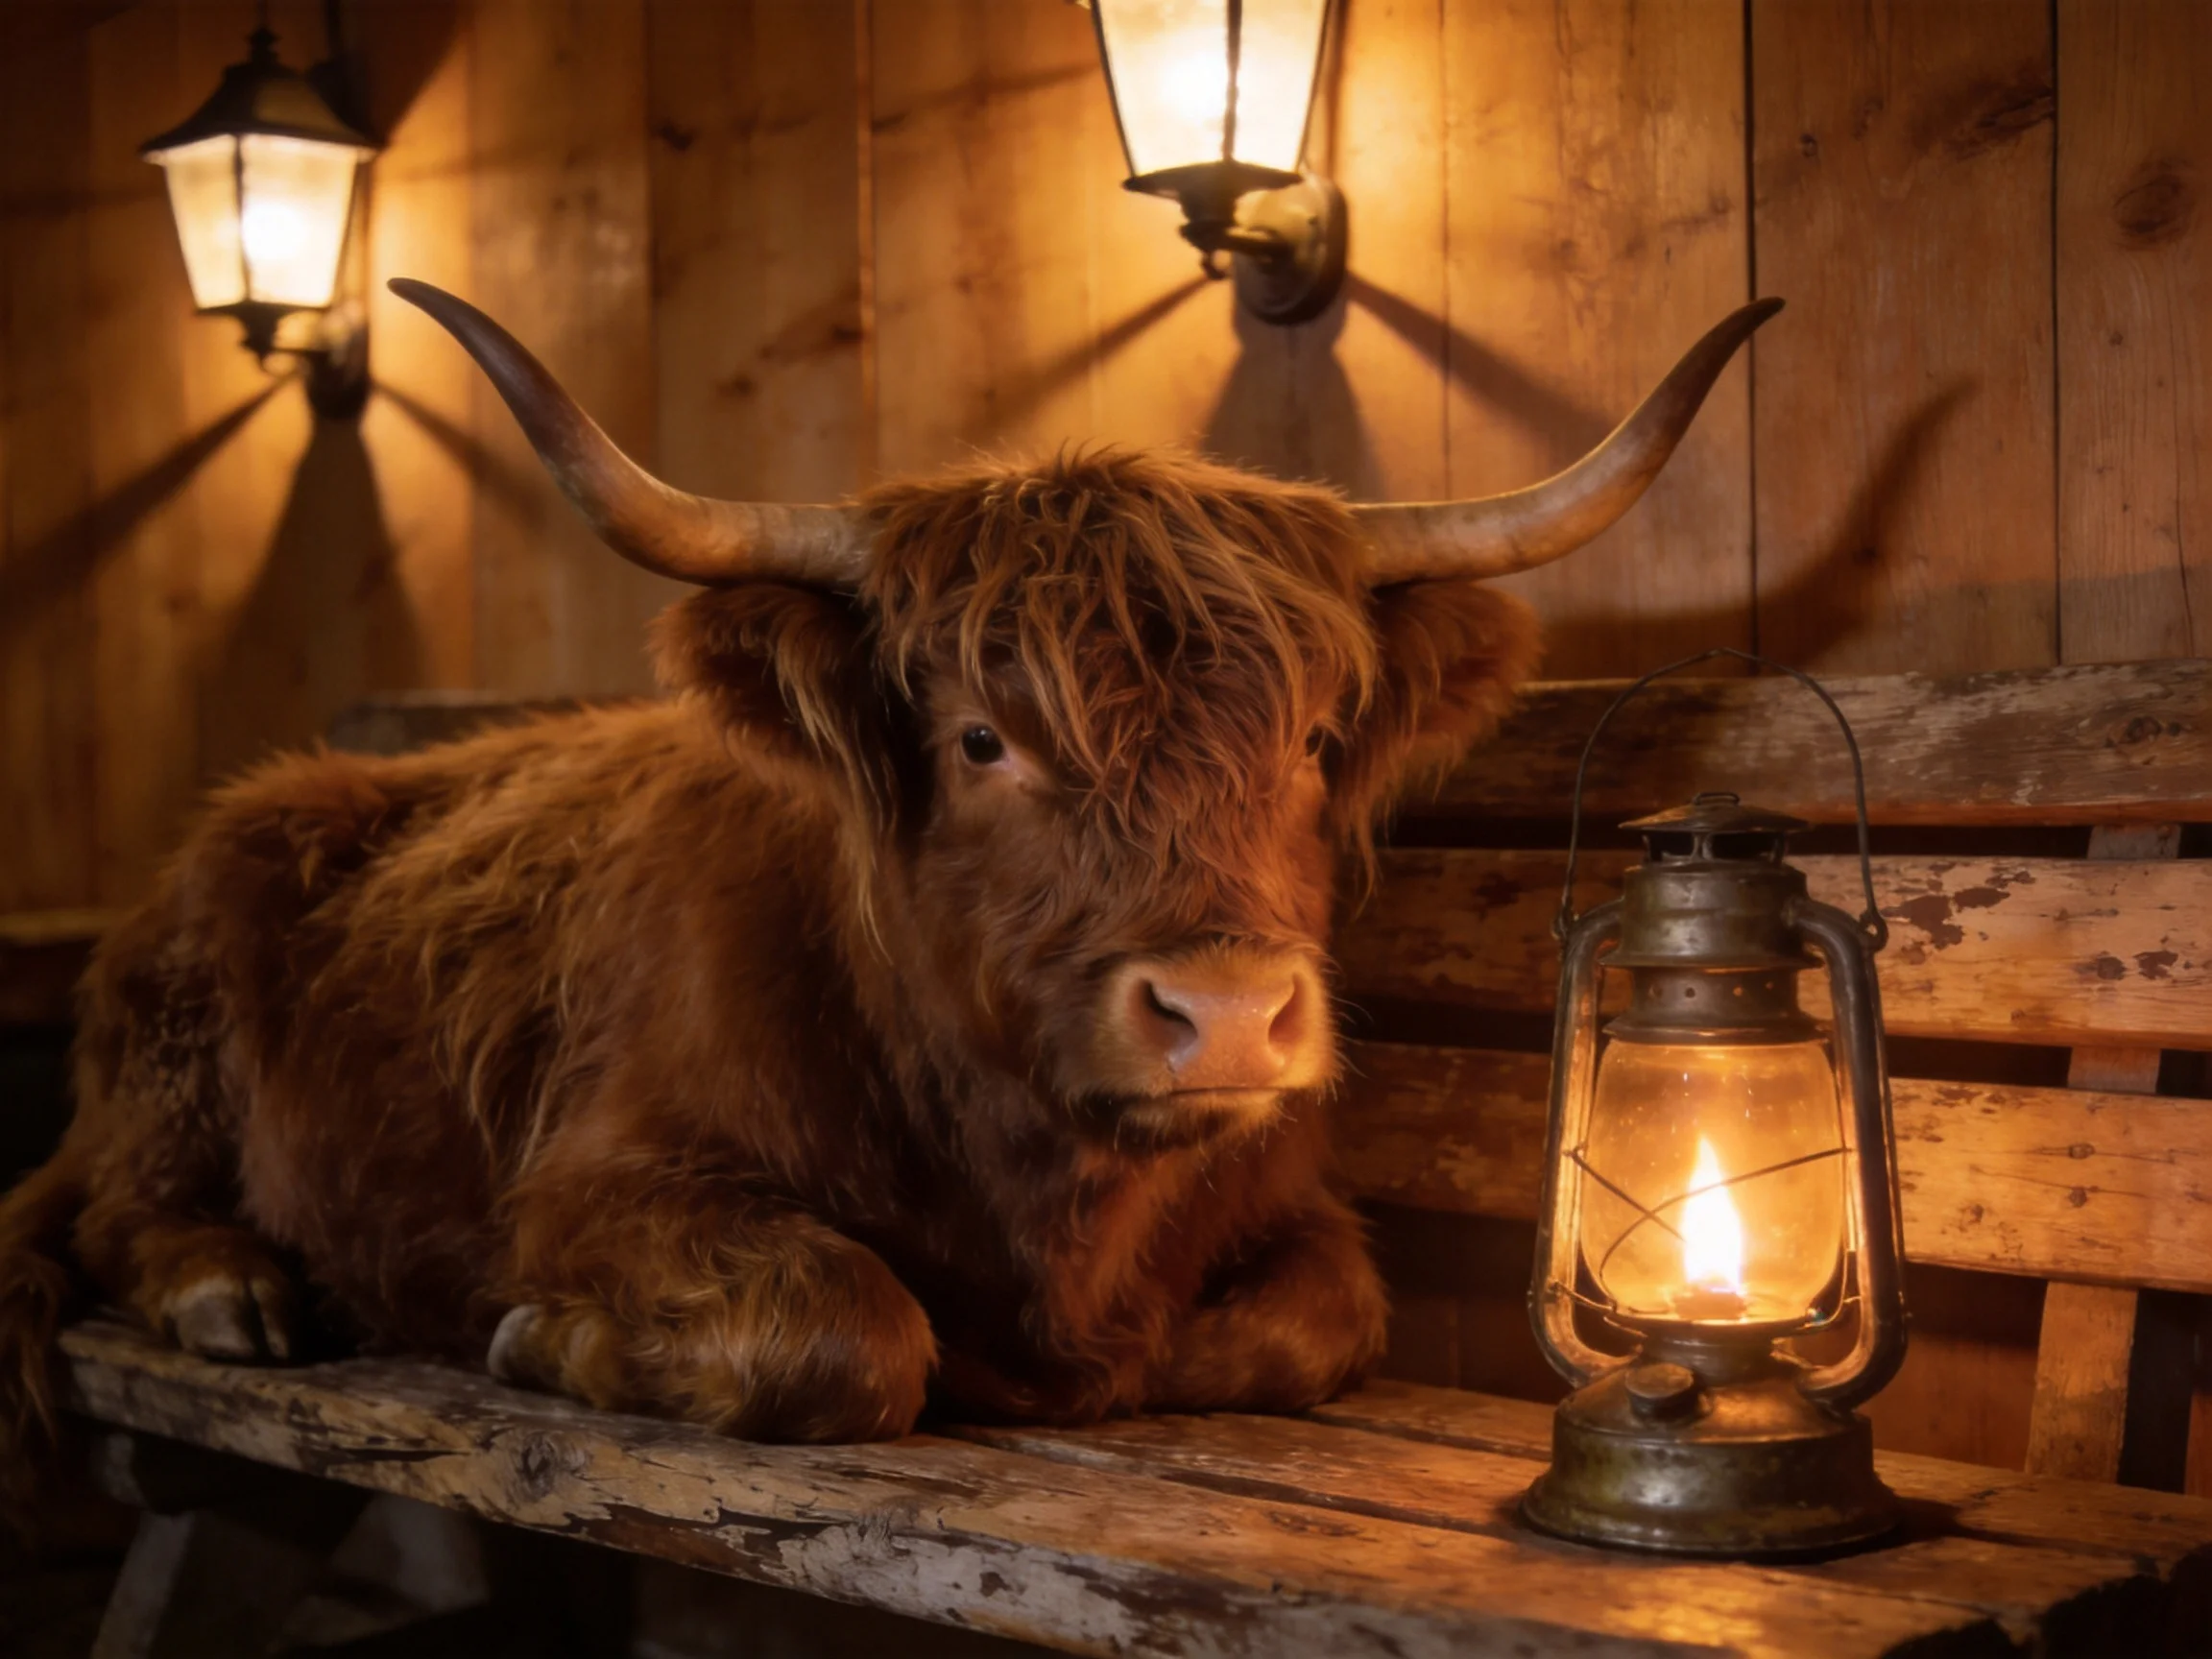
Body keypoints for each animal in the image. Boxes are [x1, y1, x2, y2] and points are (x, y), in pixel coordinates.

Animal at [0, 283, 1777, 1485]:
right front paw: (538, 1338)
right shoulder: (588, 1183)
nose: (1222, 1016)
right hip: (170, 1057)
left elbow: (1301, 1325)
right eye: (982, 738)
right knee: (108, 1197)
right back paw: (232, 1288)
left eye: (1319, 735)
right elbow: (846, 1327)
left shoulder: (1291, 1209)